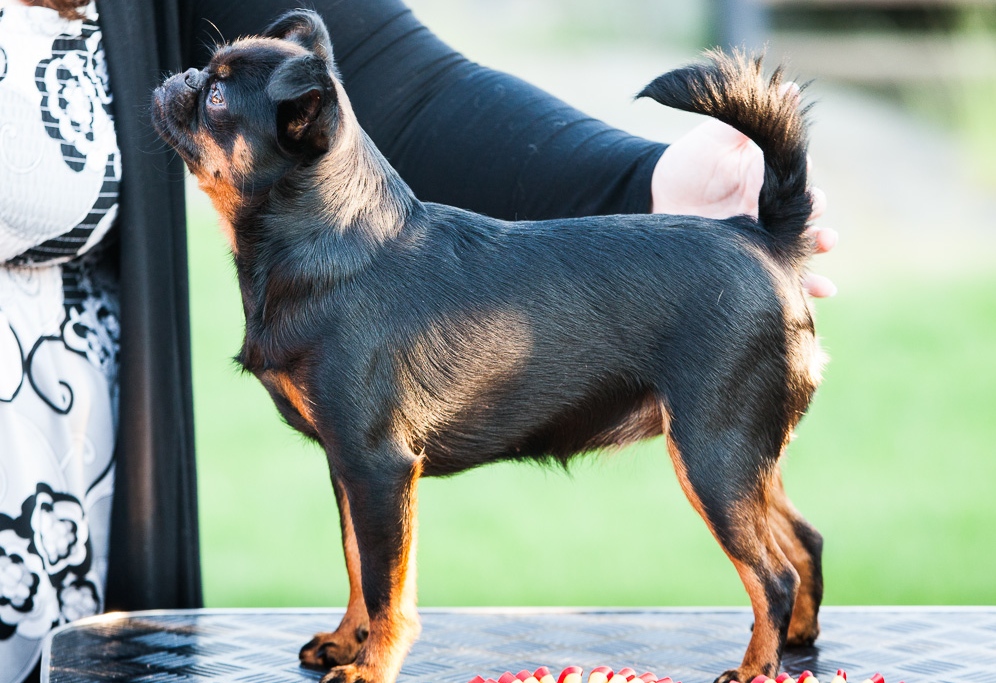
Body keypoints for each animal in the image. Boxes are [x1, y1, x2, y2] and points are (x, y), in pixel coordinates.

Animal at [153, 10, 825, 683]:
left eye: (217, 98)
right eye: (205, 75)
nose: (181, 77)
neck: (330, 239)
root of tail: (765, 237)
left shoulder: (378, 468)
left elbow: (385, 583)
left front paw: (372, 665)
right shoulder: (348, 468)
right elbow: (355, 564)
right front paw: (348, 641)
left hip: (712, 457)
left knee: (772, 575)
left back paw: (756, 666)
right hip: (745, 457)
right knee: (803, 541)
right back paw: (797, 640)